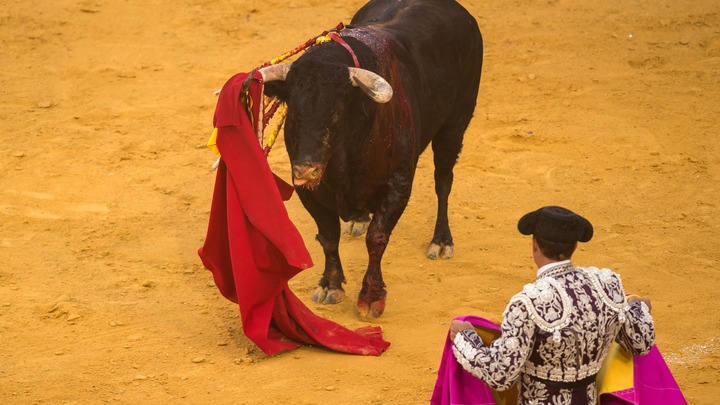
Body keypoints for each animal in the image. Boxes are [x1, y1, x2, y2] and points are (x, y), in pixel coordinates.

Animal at [262, 0, 480, 318]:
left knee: (443, 180)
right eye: (293, 110)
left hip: (455, 124)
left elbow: (377, 238)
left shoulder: (398, 185)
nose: (306, 170)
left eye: (337, 112)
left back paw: (441, 241)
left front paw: (371, 296)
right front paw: (330, 285)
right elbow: (328, 235)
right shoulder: (308, 192)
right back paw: (359, 218)